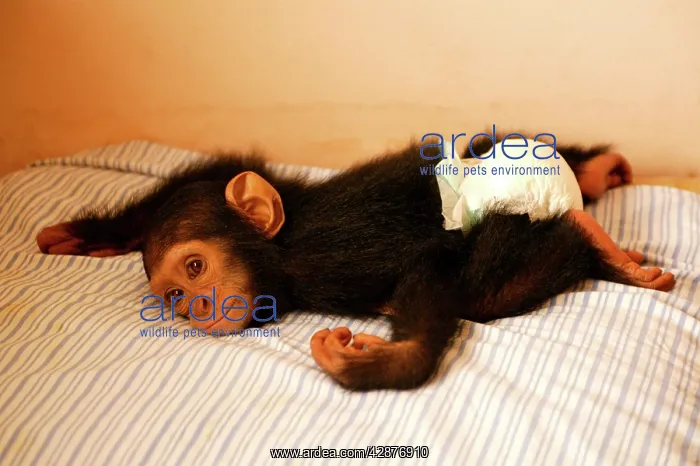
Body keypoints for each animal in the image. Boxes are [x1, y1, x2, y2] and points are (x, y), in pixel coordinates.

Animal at [35, 133, 676, 391]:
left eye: (195, 270)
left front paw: (381, 362)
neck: (280, 254)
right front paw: (89, 234)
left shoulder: (327, 259)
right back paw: (598, 175)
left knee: (489, 286)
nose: (195, 306)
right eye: (173, 296)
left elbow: (432, 268)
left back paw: (598, 230)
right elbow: (219, 169)